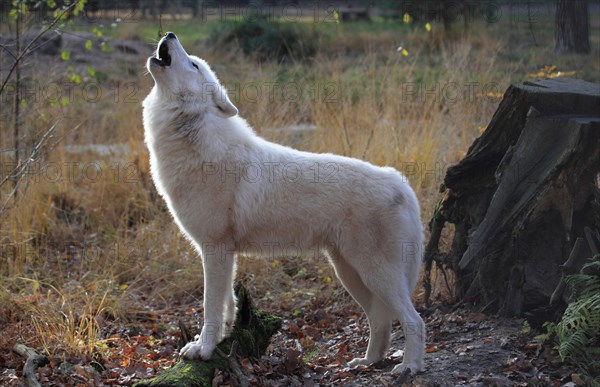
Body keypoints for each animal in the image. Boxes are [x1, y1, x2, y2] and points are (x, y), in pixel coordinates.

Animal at [142, 34, 424, 376]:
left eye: (193, 64)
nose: (170, 35)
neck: (193, 135)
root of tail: (400, 181)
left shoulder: (215, 249)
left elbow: (210, 307)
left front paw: (203, 350)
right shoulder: (223, 254)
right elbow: (227, 305)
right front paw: (221, 339)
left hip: (375, 273)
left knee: (414, 320)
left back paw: (410, 367)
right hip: (351, 273)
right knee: (380, 321)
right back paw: (367, 361)